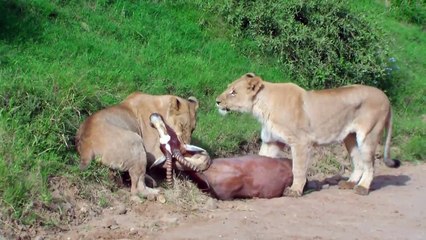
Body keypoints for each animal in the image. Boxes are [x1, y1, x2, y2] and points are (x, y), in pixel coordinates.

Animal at [216, 72, 400, 197]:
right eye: (228, 88)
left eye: (233, 92)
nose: (217, 101)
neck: (261, 107)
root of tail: (386, 97)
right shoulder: (272, 142)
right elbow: (261, 160)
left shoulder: (301, 142)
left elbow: (298, 168)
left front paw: (295, 190)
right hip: (350, 138)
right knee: (359, 162)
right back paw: (349, 183)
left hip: (368, 135)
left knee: (370, 165)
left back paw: (362, 188)